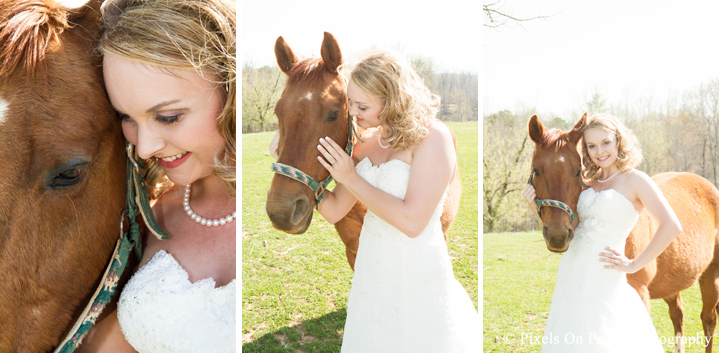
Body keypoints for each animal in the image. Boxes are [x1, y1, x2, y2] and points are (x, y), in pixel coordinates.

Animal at [532, 113, 719, 352]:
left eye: (577, 171)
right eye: (536, 170)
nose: (557, 235)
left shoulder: (639, 292)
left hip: (710, 276)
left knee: (708, 319)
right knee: (678, 315)